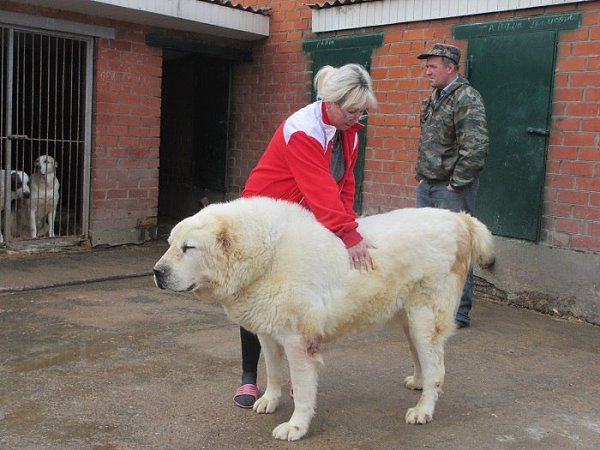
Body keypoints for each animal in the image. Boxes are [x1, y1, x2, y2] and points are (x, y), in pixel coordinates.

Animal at [152, 197, 494, 440]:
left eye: (188, 248)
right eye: (170, 245)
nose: (157, 272)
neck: (263, 256)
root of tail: (459, 218)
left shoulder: (298, 342)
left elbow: (303, 391)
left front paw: (296, 427)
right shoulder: (268, 332)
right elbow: (273, 371)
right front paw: (269, 400)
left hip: (424, 317)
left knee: (436, 365)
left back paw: (424, 408)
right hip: (407, 318)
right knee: (425, 359)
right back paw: (419, 383)